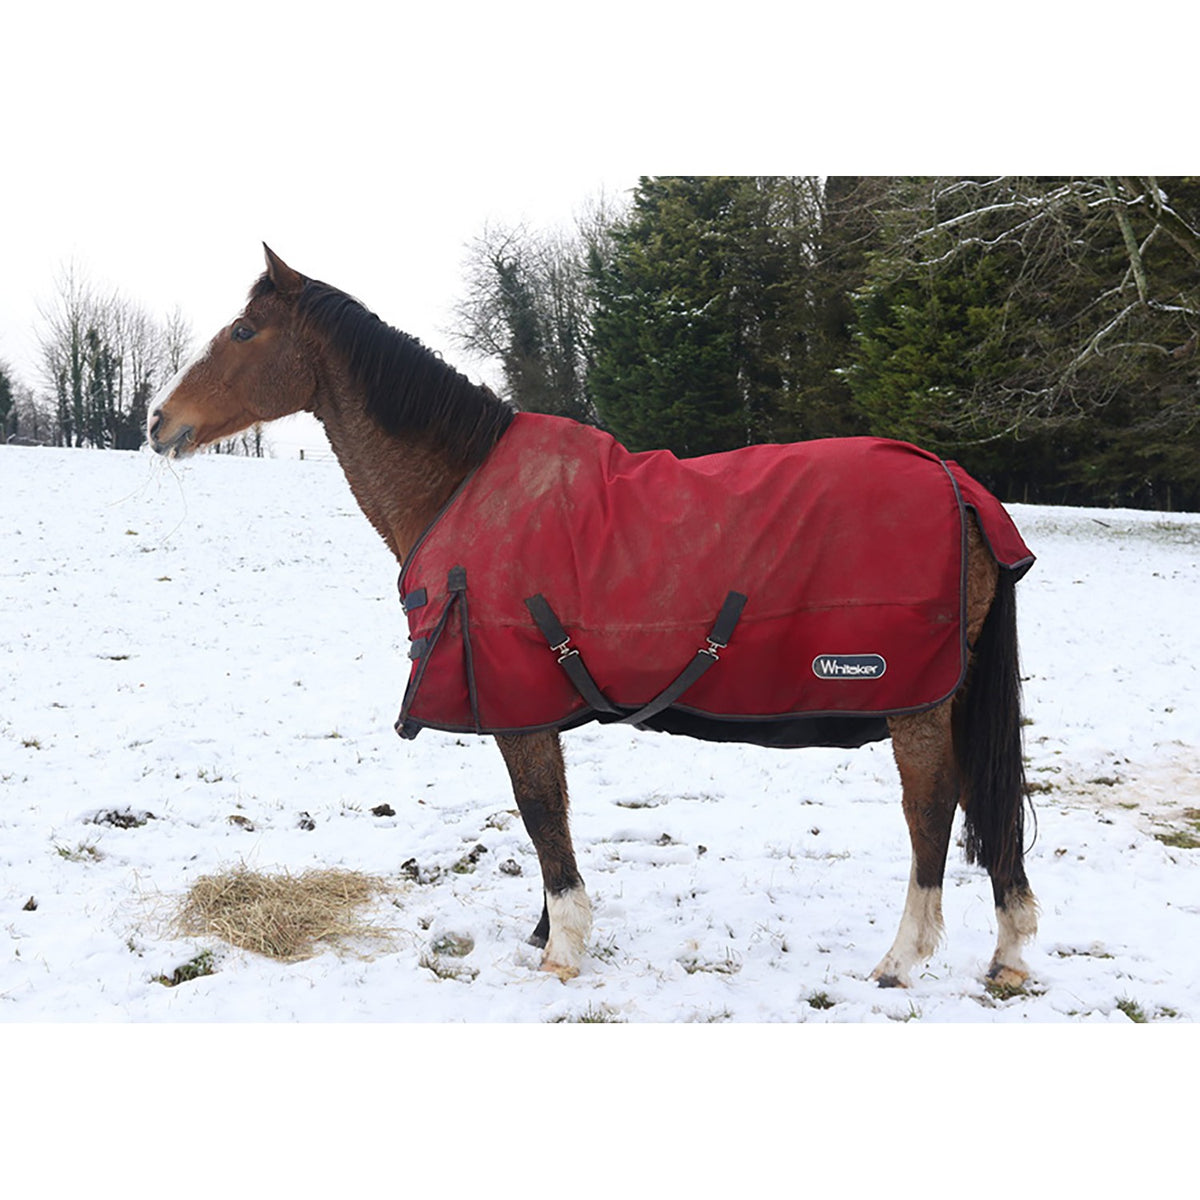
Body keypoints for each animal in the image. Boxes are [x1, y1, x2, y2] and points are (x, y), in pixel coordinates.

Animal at [148, 245, 1038, 991]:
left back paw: (902, 958)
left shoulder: (518, 708)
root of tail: (959, 485)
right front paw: (548, 932)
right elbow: (549, 820)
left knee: (933, 808)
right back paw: (1009, 953)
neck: (462, 482)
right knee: (983, 797)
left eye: (243, 330)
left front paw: (564, 948)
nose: (159, 421)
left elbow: (543, 818)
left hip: (914, 701)